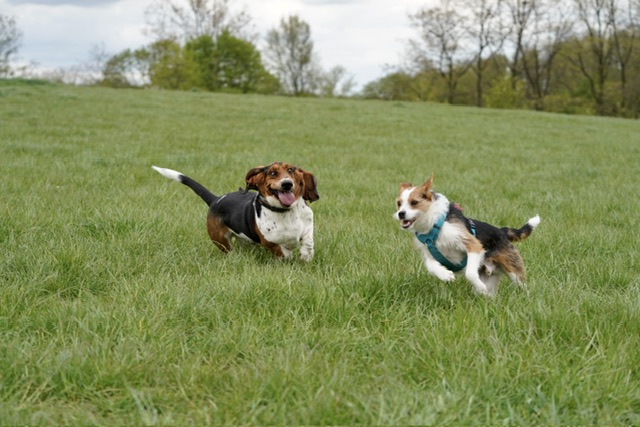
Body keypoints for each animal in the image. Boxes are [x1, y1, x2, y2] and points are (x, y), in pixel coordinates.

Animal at [152, 162, 319, 261]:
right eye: (272, 173)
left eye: (290, 170)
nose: (287, 184)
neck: (285, 212)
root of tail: (215, 200)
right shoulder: (268, 241)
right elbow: (282, 250)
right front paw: (289, 256)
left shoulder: (308, 228)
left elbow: (308, 241)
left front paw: (306, 256)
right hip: (220, 240)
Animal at [393, 174, 540, 296]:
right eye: (399, 203)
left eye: (414, 202)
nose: (401, 214)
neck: (434, 223)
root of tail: (501, 231)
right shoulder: (428, 252)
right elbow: (430, 266)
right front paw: (445, 275)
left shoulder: (472, 244)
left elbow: (470, 273)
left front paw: (479, 287)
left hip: (513, 269)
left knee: (522, 286)